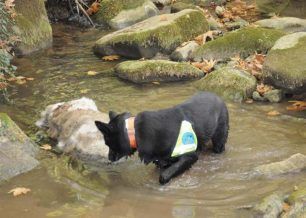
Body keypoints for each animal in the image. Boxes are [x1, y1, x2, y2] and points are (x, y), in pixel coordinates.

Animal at [94, 91, 228, 185]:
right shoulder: (161, 160)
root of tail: (218, 97)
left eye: (107, 143)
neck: (134, 132)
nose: (109, 158)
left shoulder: (189, 155)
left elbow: (164, 176)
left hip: (219, 141)